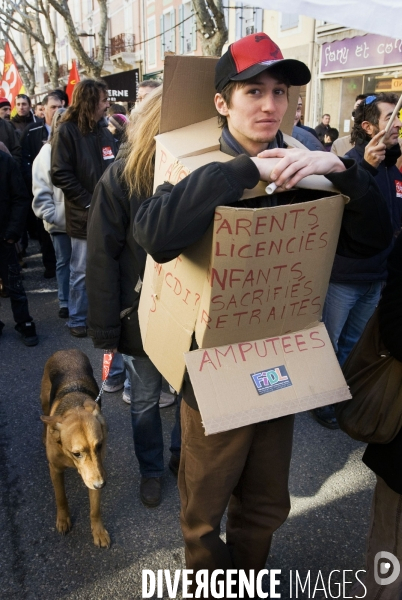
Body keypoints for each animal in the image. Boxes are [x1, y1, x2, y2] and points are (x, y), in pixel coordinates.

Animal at [40, 346, 109, 548]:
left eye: (99, 446)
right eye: (77, 453)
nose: (101, 484)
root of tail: (66, 350)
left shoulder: (94, 473)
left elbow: (95, 509)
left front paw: (98, 531)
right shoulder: (55, 469)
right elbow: (61, 497)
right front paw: (63, 520)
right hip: (44, 400)